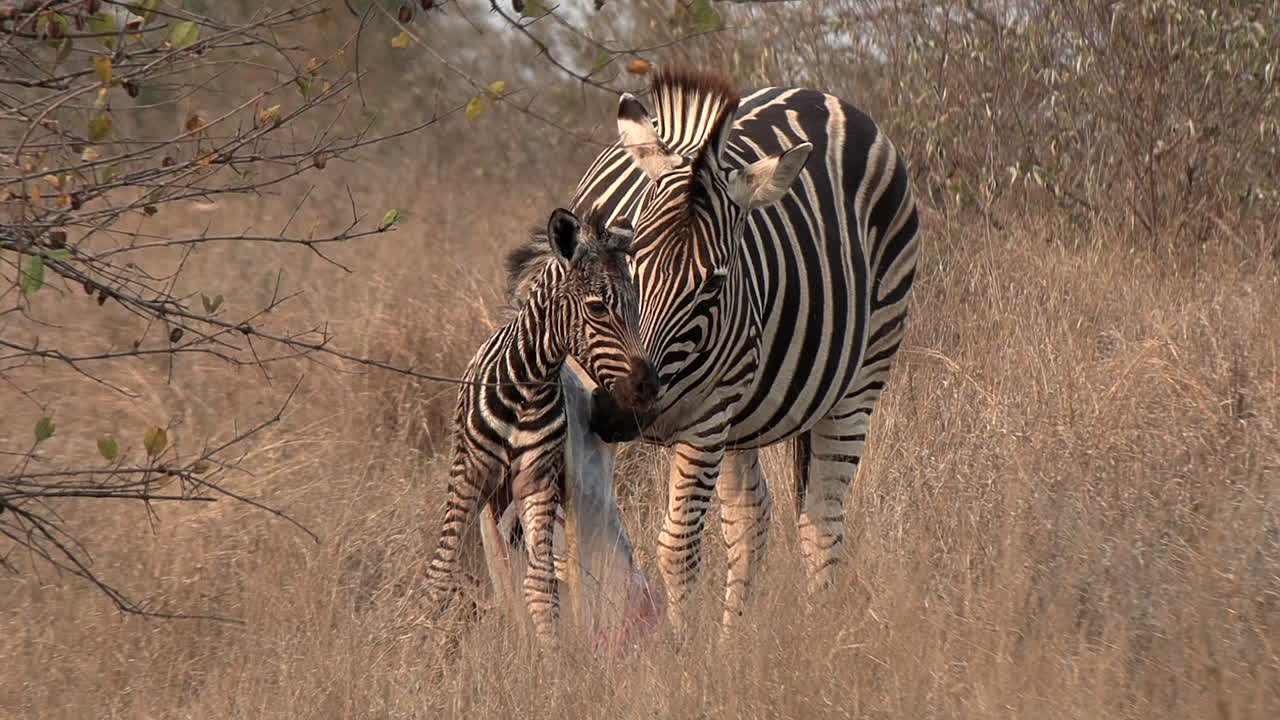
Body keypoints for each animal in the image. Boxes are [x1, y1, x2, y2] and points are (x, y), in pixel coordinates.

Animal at [424, 207, 660, 647]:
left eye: (635, 306)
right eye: (598, 309)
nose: (648, 388)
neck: (524, 383)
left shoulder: (537, 477)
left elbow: (540, 583)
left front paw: (551, 658)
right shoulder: (469, 471)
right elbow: (440, 571)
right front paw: (416, 648)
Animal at [573, 66, 920, 631]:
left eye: (714, 285)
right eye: (630, 263)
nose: (623, 408)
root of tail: (815, 93)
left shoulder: (708, 417)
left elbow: (678, 548)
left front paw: (679, 650)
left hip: (857, 381)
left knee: (820, 520)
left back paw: (814, 635)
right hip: (741, 421)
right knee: (751, 520)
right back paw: (732, 641)